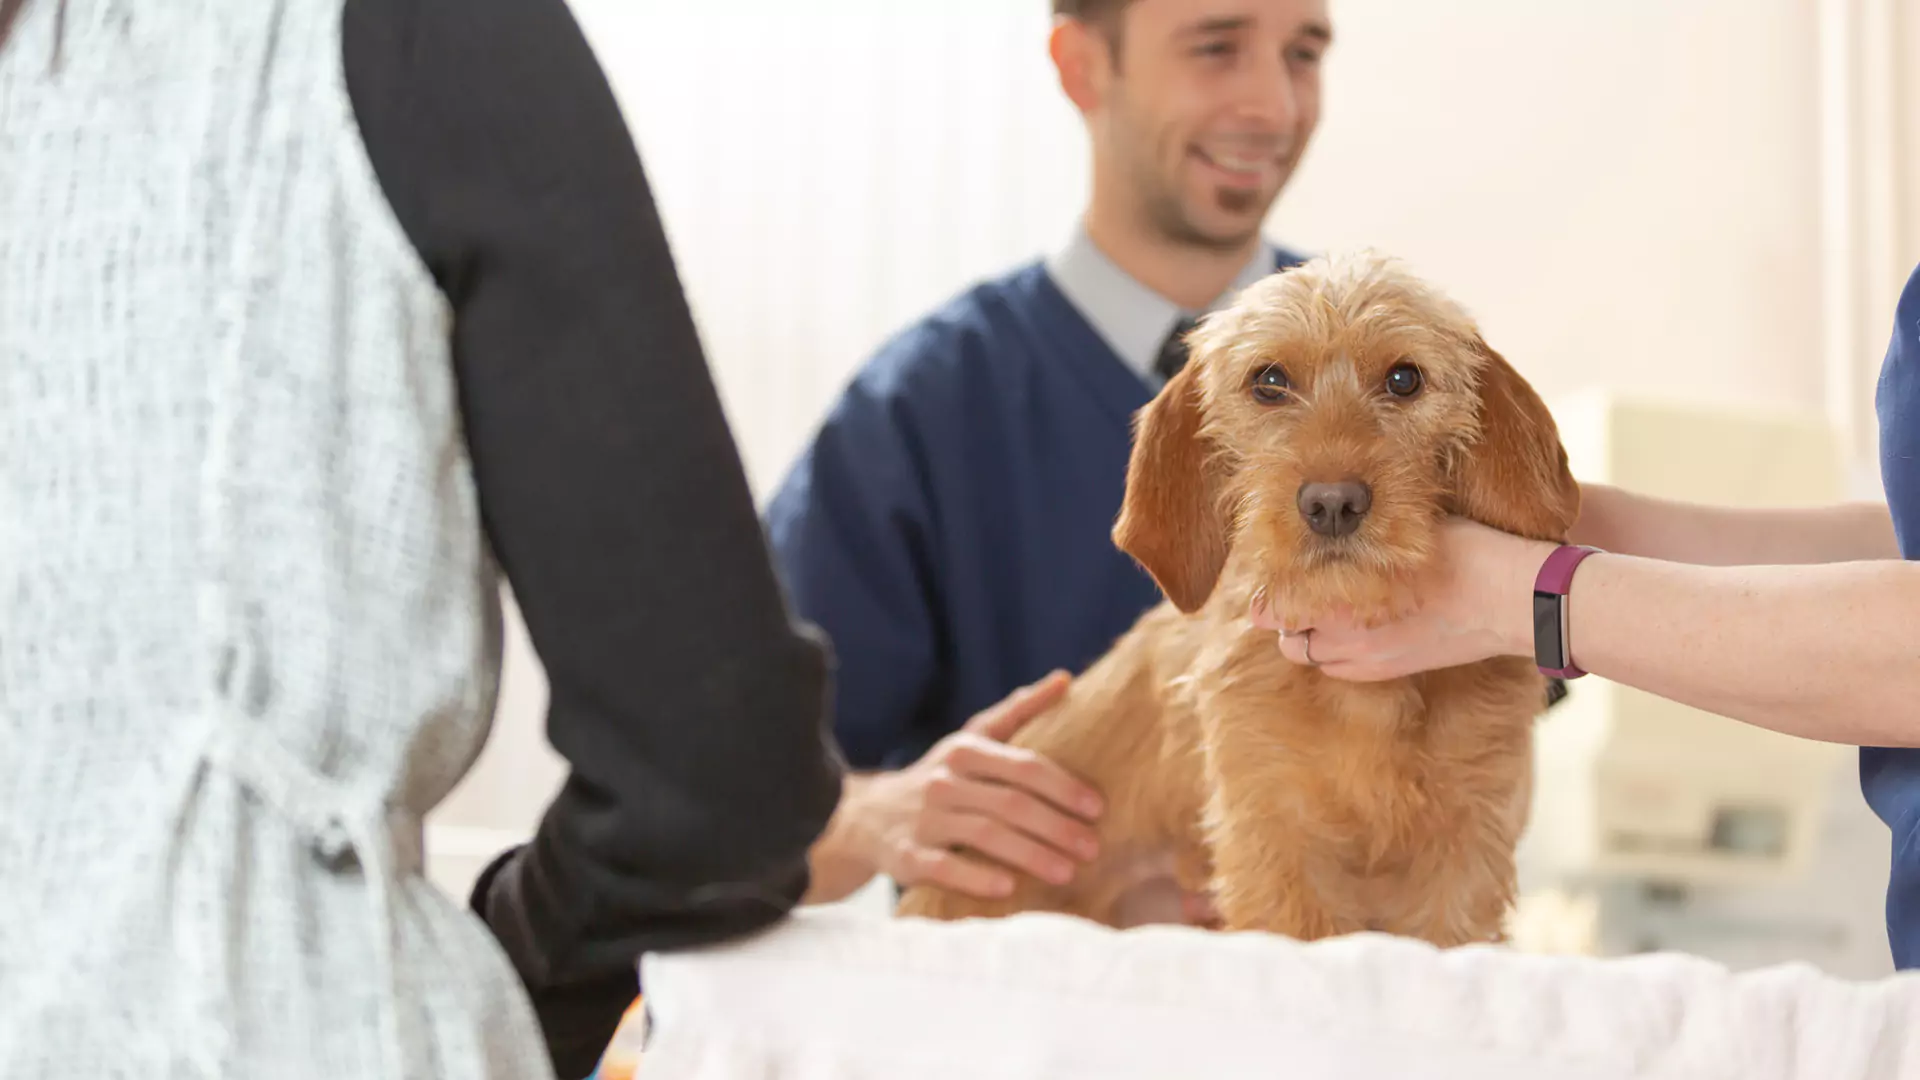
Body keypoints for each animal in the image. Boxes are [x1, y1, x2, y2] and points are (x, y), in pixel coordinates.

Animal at [890, 251, 1582, 941]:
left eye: (1404, 379)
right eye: (1269, 381)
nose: (1332, 504)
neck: (1368, 701)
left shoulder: (1465, 850)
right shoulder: (1276, 839)